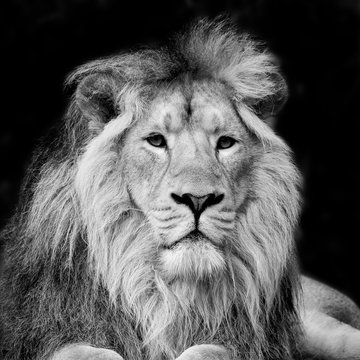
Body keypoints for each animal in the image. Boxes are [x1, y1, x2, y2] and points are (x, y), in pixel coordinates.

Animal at [0, 18, 360, 360]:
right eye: (156, 141)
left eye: (225, 143)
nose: (198, 199)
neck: (165, 291)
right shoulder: (49, 331)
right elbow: (88, 351)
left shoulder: (254, 340)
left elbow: (210, 350)